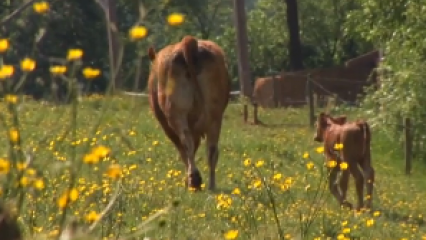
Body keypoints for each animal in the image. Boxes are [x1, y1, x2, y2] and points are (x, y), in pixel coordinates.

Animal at [148, 35, 231, 191]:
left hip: (176, 114)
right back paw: (211, 185)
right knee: (212, 150)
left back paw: (194, 180)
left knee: (187, 144)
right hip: (215, 117)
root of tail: (189, 42)